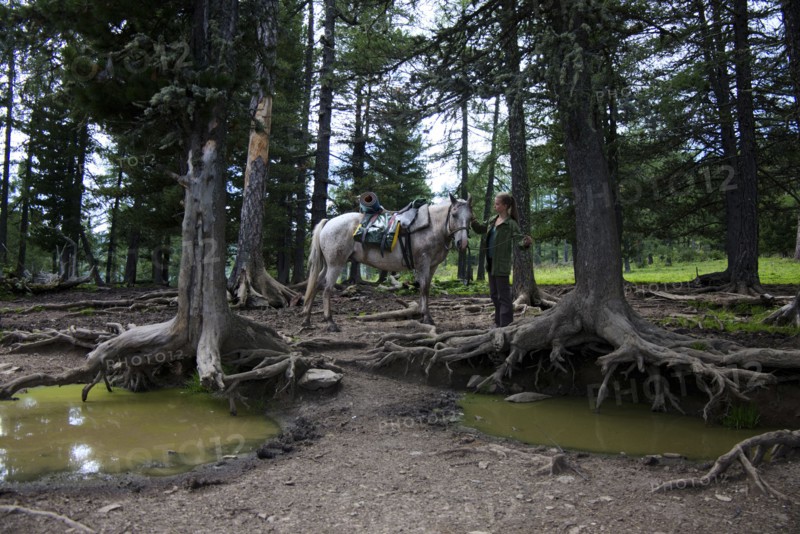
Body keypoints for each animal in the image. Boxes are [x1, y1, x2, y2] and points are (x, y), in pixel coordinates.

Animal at [302, 194, 474, 332]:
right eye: (454, 214)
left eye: (471, 217)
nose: (462, 243)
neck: (432, 227)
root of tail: (328, 223)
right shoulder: (423, 264)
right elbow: (424, 288)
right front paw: (427, 318)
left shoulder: (432, 266)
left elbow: (426, 290)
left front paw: (423, 315)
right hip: (335, 264)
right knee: (326, 290)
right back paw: (330, 323)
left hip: (327, 265)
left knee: (316, 285)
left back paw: (307, 321)